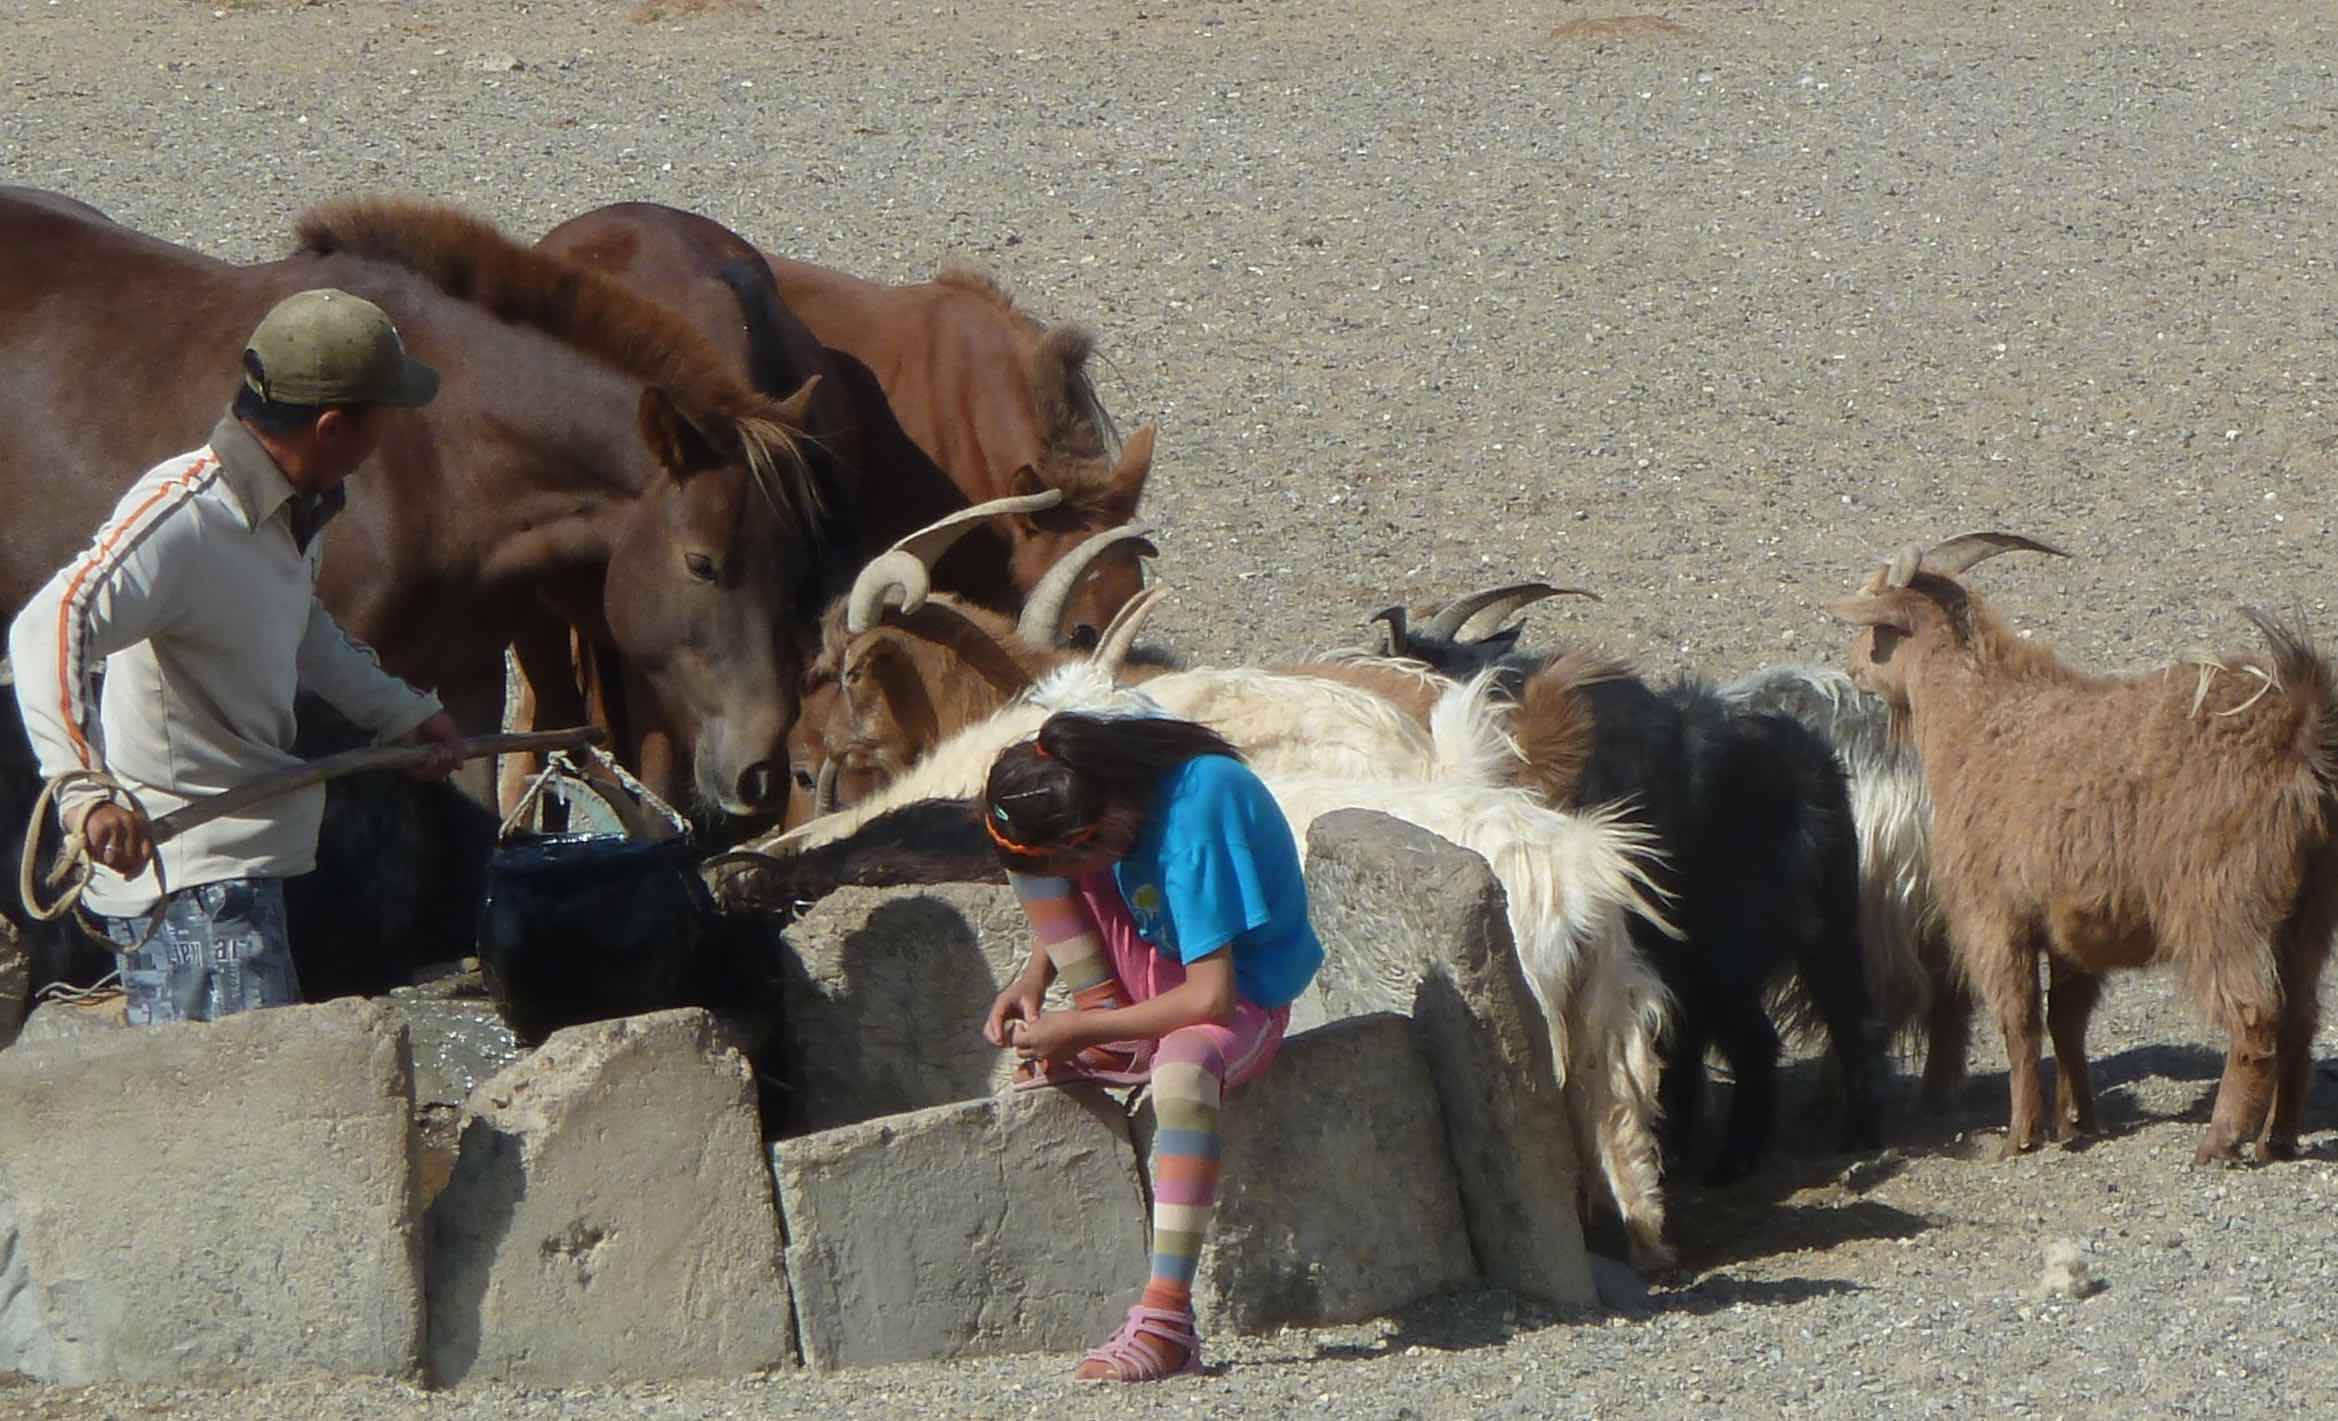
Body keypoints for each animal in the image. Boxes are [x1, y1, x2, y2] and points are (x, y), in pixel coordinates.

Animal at [1823, 532, 2338, 1163]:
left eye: (1878, 627)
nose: (1850, 667)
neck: (1979, 721)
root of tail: (2296, 737)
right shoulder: (2072, 927)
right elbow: (2065, 1019)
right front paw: (2076, 1121)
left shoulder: (1995, 918)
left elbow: (2019, 1023)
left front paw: (2021, 1135)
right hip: (2310, 915)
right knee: (2301, 1018)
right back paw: (2279, 1138)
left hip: (2222, 906)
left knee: (2256, 1017)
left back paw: (2221, 1140)